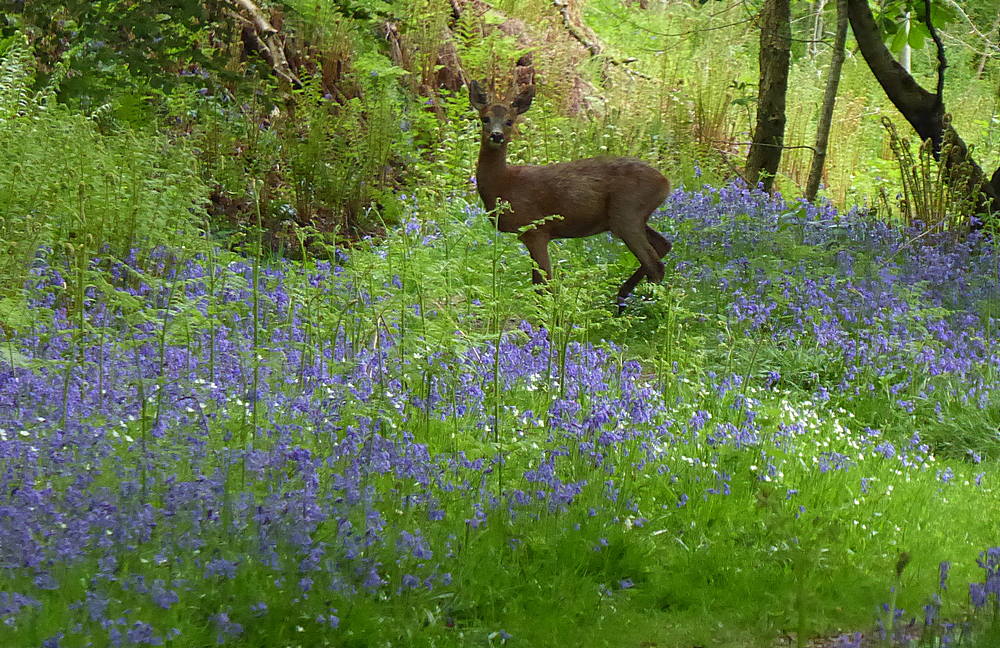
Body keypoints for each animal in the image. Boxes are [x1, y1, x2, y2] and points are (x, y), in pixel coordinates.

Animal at [468, 79, 672, 312]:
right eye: (485, 118)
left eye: (509, 121)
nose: (496, 135)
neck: (505, 183)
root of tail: (665, 183)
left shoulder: (536, 229)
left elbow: (545, 285)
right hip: (631, 217)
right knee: (663, 245)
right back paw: (623, 301)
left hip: (627, 212)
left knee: (654, 263)